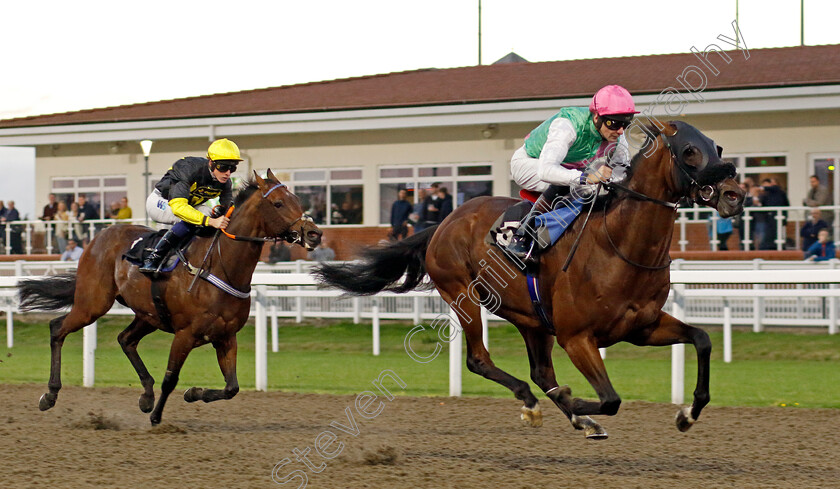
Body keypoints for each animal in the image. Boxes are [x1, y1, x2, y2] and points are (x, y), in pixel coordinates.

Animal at [20, 170, 322, 426]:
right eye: (279, 204)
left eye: (297, 199)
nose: (314, 234)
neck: (219, 265)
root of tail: (100, 236)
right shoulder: (185, 334)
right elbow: (171, 378)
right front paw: (156, 418)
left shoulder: (226, 336)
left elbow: (231, 387)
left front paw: (192, 393)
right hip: (92, 304)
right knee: (57, 328)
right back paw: (50, 395)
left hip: (148, 314)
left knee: (125, 339)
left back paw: (146, 396)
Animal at [316, 121, 748, 438]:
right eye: (690, 151)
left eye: (718, 147)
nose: (735, 195)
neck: (620, 245)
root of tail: (445, 221)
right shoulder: (577, 337)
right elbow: (610, 399)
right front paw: (578, 406)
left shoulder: (642, 326)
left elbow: (702, 339)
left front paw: (688, 413)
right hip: (463, 296)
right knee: (480, 359)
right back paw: (540, 404)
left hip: (531, 317)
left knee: (540, 372)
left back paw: (568, 413)